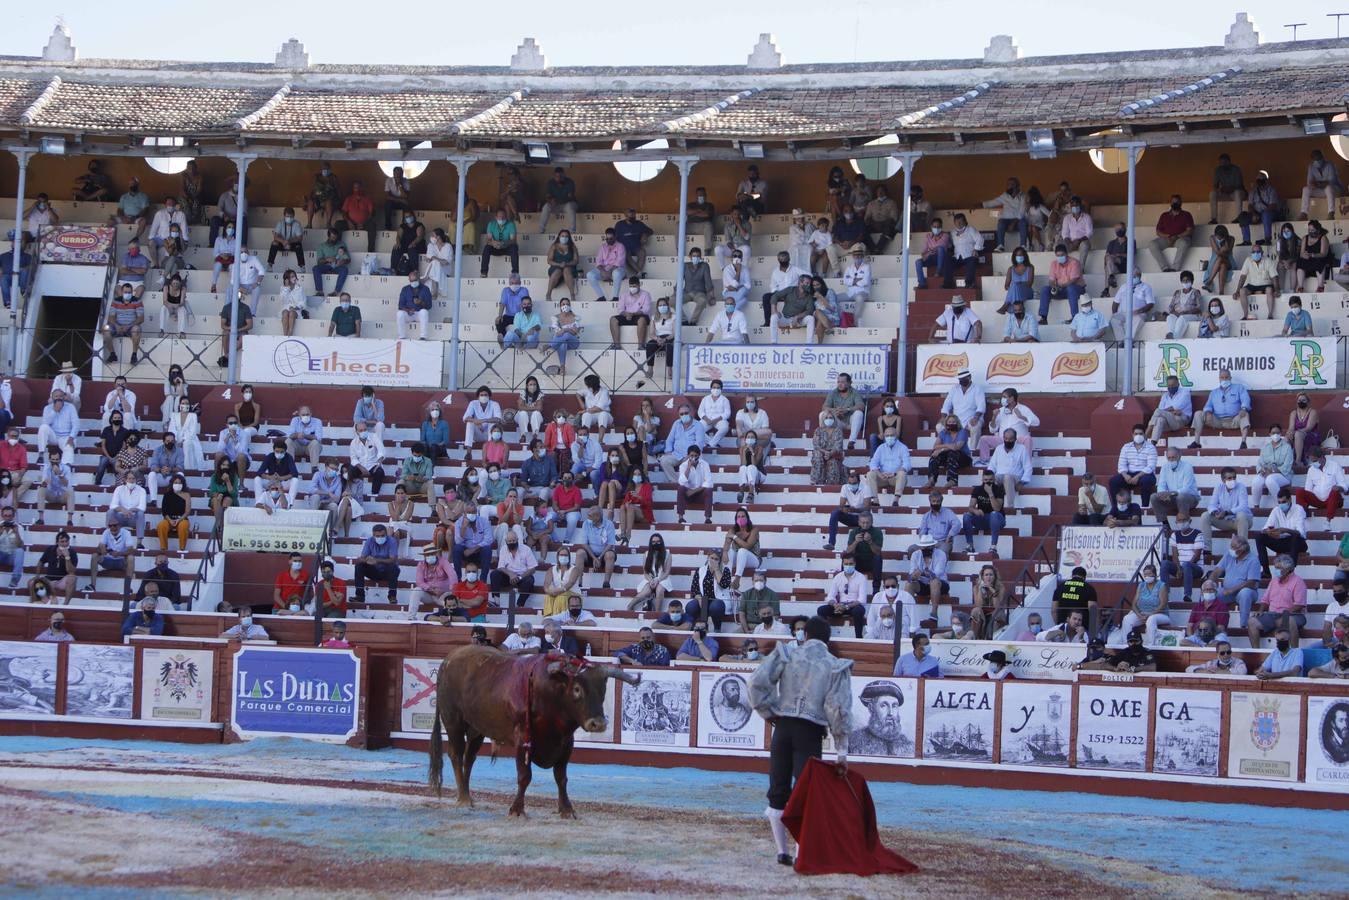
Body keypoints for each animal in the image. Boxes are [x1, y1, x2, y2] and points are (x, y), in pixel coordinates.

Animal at [431, 647, 642, 814]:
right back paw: (463, 798)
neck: (550, 694)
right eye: (577, 689)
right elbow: (525, 776)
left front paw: (567, 809)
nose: (598, 724)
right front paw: (517, 810)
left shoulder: (566, 742)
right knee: (456, 754)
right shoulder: (522, 739)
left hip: (477, 728)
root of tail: (448, 660)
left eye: (603, 689)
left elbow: (561, 777)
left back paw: (468, 796)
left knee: (469, 757)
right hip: (453, 721)